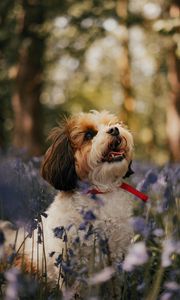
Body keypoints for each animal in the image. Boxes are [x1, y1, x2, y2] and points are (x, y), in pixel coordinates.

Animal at [0, 111, 135, 284]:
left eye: (112, 124)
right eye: (89, 135)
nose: (114, 130)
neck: (100, 191)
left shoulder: (117, 251)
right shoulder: (71, 257)